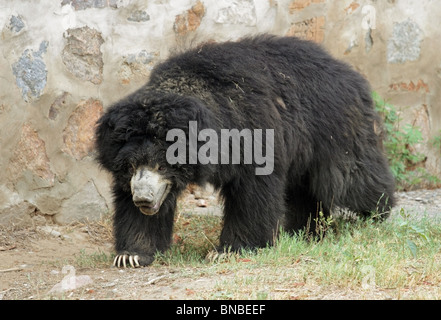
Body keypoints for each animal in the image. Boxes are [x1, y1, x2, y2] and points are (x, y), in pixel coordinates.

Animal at [95, 35, 396, 268]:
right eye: (131, 166)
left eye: (161, 165)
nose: (143, 200)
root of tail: (347, 71)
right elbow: (131, 208)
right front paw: (131, 255)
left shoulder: (250, 131)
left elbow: (253, 192)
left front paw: (228, 251)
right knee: (303, 188)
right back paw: (304, 230)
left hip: (334, 128)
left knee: (351, 177)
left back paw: (376, 213)